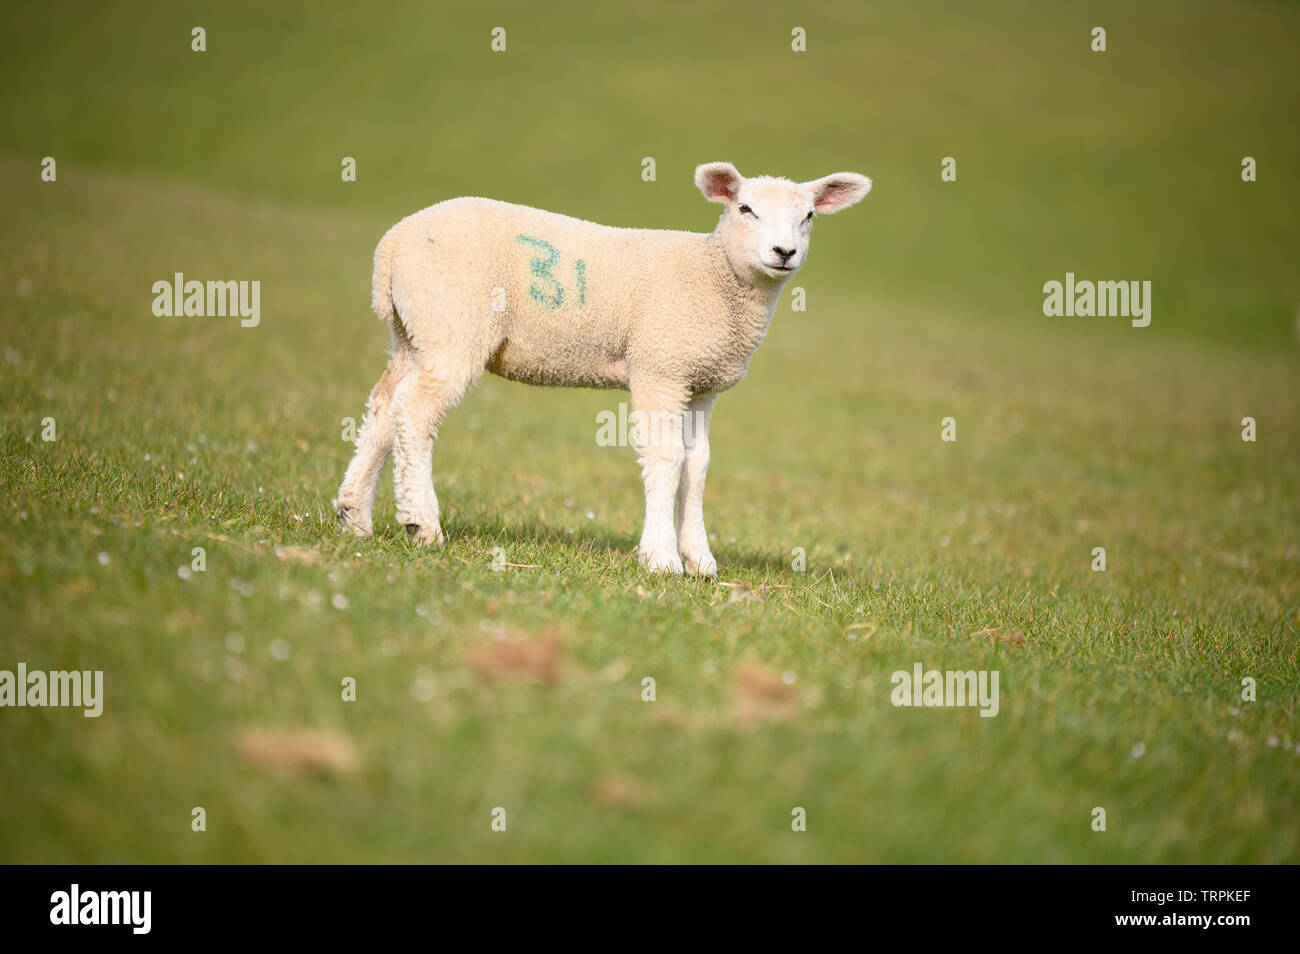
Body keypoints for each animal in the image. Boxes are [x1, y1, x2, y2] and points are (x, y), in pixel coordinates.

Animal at [332, 162, 873, 574]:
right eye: (745, 208)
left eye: (808, 216)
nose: (785, 252)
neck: (714, 275)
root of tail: (392, 245)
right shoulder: (661, 367)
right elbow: (665, 460)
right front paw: (662, 560)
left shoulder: (701, 383)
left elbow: (696, 467)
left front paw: (701, 560)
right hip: (453, 325)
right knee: (416, 411)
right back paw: (422, 523)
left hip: (411, 333)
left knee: (384, 407)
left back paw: (354, 515)